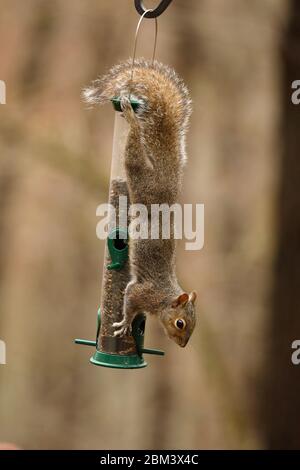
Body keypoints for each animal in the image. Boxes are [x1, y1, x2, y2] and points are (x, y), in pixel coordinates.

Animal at [84, 58, 197, 346]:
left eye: (194, 326)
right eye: (180, 323)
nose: (183, 345)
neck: (164, 300)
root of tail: (168, 176)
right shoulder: (141, 292)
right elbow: (130, 301)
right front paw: (125, 324)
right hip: (141, 176)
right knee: (133, 150)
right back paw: (131, 119)